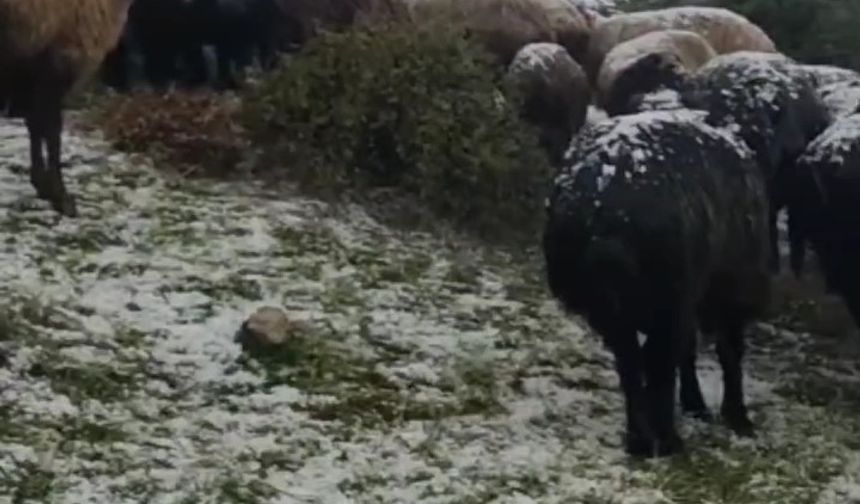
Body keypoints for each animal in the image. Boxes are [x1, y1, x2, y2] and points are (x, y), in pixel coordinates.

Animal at [0, 0, 134, 215]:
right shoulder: (58, 63)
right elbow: (52, 133)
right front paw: (60, 197)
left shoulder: (34, 76)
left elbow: (36, 127)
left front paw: (42, 185)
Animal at [540, 109, 768, 456]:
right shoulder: (719, 295)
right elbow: (723, 352)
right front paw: (734, 416)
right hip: (673, 297)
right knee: (661, 359)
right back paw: (667, 437)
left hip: (612, 305)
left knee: (633, 363)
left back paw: (640, 438)